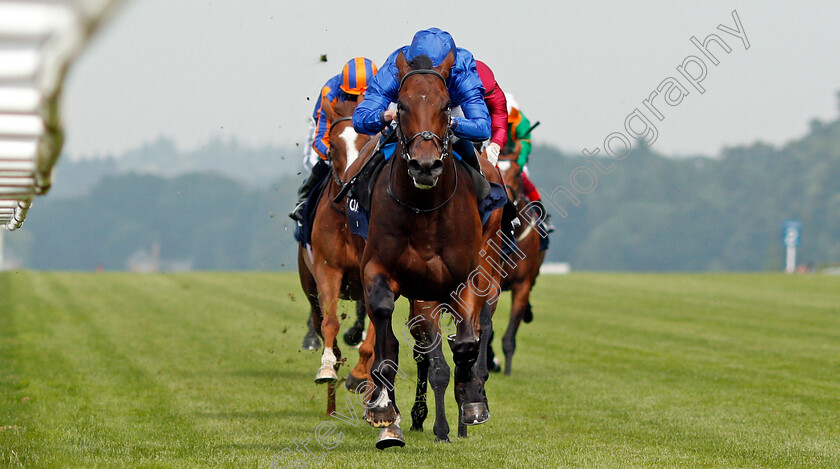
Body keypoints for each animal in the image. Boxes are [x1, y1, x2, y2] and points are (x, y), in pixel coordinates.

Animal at [360, 50, 502, 446]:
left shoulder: (465, 277)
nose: (425, 165)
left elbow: (466, 343)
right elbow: (386, 324)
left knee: (477, 328)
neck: (425, 211)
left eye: (444, 106)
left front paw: (471, 401)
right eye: (402, 105)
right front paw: (383, 407)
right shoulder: (381, 270)